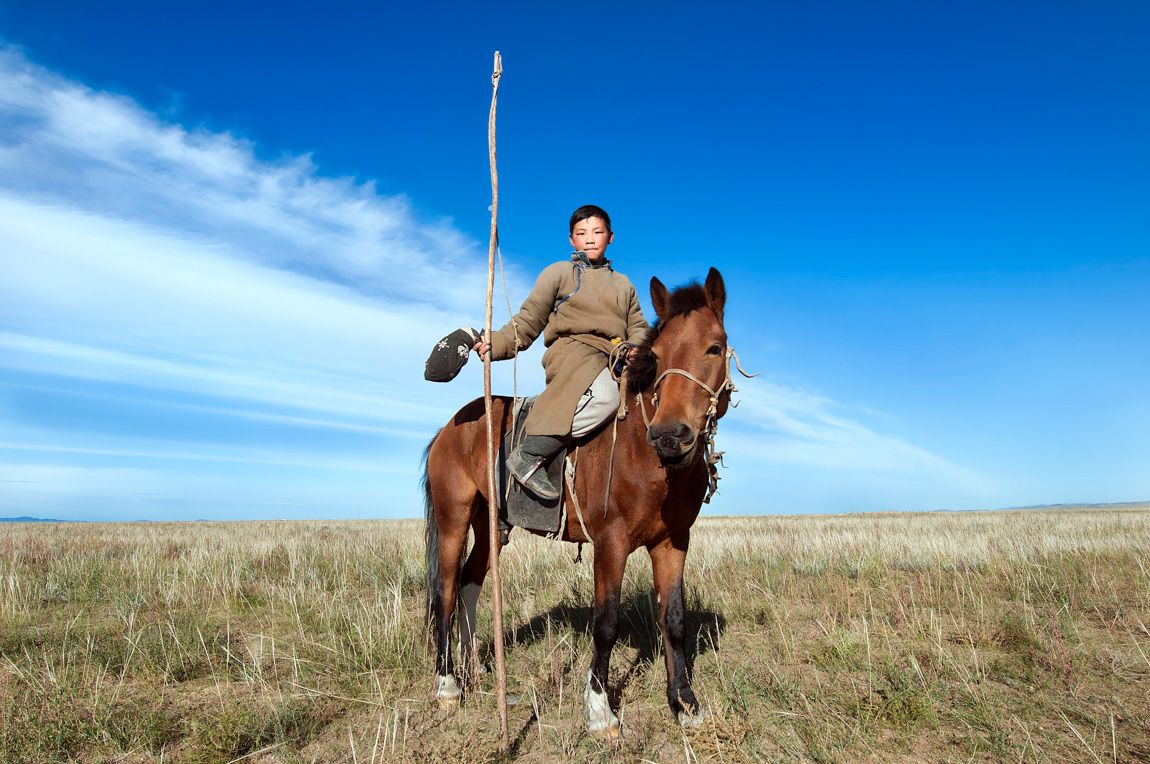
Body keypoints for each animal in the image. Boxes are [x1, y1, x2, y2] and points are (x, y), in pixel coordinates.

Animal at [423, 266, 736, 736]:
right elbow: (606, 622)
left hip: (491, 525)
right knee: (444, 591)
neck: (647, 457)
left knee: (468, 583)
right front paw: (600, 710)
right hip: (453, 519)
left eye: (714, 347)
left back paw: (474, 667)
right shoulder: (611, 543)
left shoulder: (673, 542)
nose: (669, 435)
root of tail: (451, 425)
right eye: (658, 355)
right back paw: (447, 686)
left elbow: (675, 620)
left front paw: (685, 703)